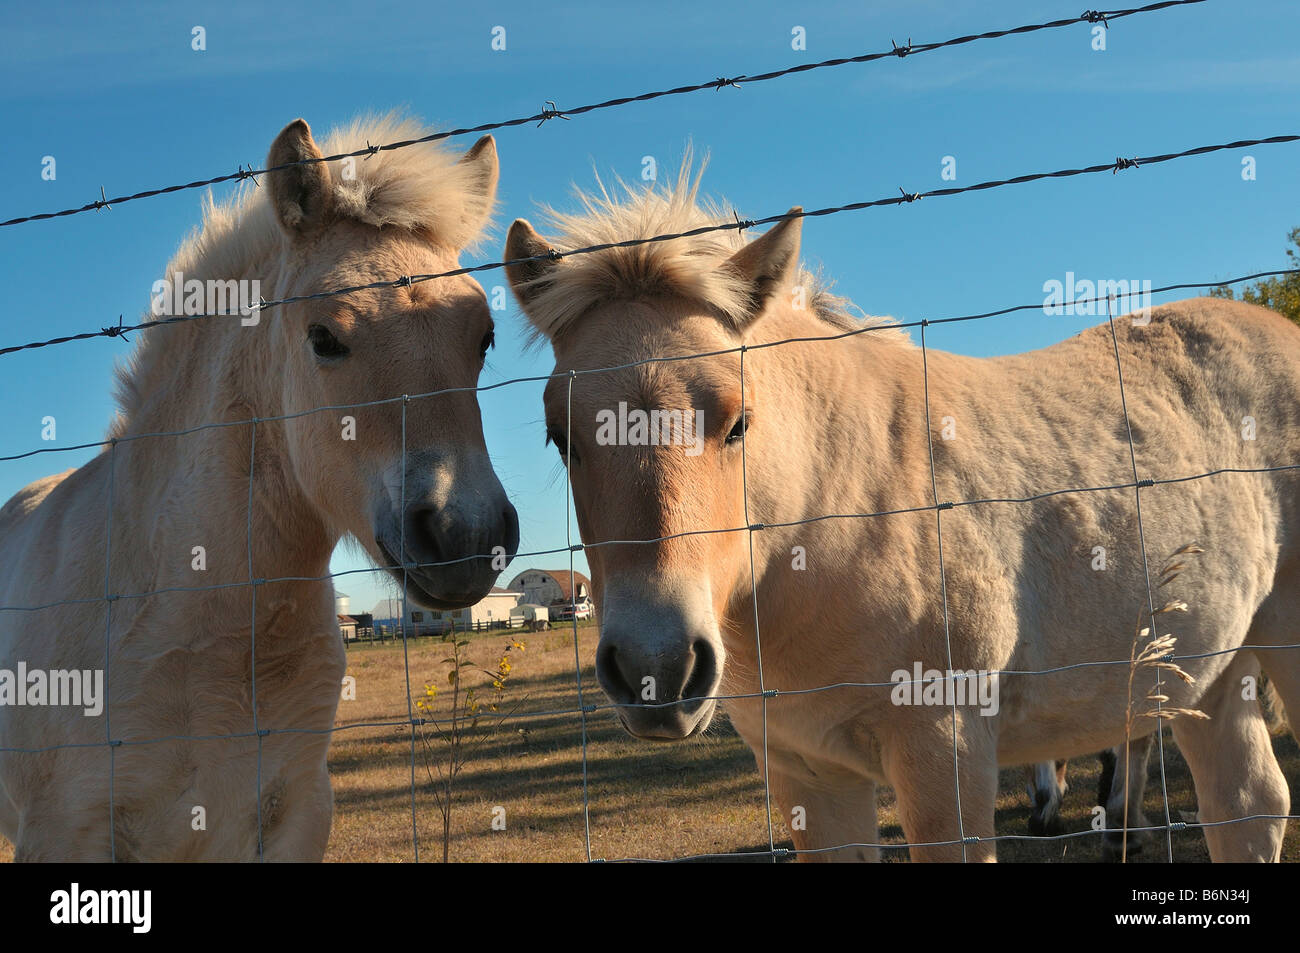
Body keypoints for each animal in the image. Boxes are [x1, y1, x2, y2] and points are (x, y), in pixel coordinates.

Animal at [506, 161, 1300, 863]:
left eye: (738, 422)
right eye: (559, 435)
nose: (657, 670)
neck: (840, 518)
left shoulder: (944, 756)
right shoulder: (807, 774)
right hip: (1212, 674)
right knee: (1249, 808)